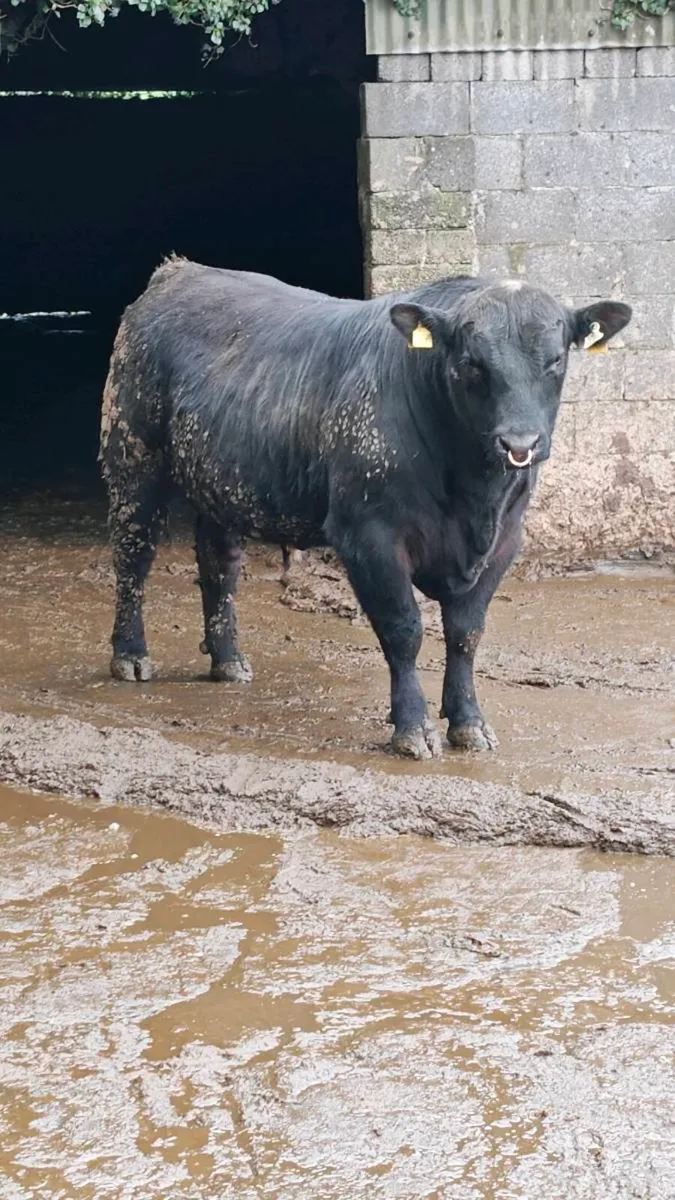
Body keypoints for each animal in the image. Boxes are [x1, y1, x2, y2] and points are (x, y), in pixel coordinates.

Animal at [99, 259, 631, 759]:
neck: (472, 495)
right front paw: (413, 729)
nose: (519, 443)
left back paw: (228, 660)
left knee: (219, 568)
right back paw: (131, 656)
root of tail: (179, 270)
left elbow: (466, 634)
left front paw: (469, 724)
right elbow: (404, 631)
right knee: (133, 557)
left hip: (222, 484)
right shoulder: (368, 535)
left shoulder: (505, 540)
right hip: (134, 458)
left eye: (555, 360)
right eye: (471, 363)